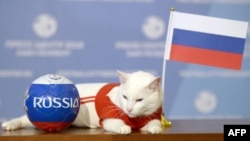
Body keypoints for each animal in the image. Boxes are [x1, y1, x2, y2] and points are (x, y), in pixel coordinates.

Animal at [1, 70, 164, 134]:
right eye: (124, 97)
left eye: (139, 100)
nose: (129, 109)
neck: (134, 119)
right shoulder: (108, 117)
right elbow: (116, 123)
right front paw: (124, 128)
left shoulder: (154, 115)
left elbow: (155, 122)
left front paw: (155, 128)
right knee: (24, 119)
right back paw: (10, 124)